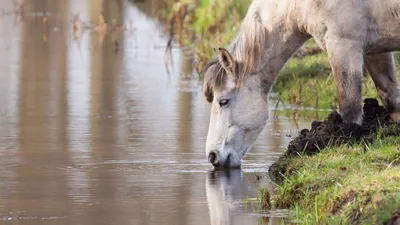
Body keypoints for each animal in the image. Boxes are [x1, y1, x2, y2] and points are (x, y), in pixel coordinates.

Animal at [203, 0, 400, 168]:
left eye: (223, 101)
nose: (212, 156)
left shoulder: (344, 46)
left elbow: (350, 107)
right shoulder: (375, 50)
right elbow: (390, 97)